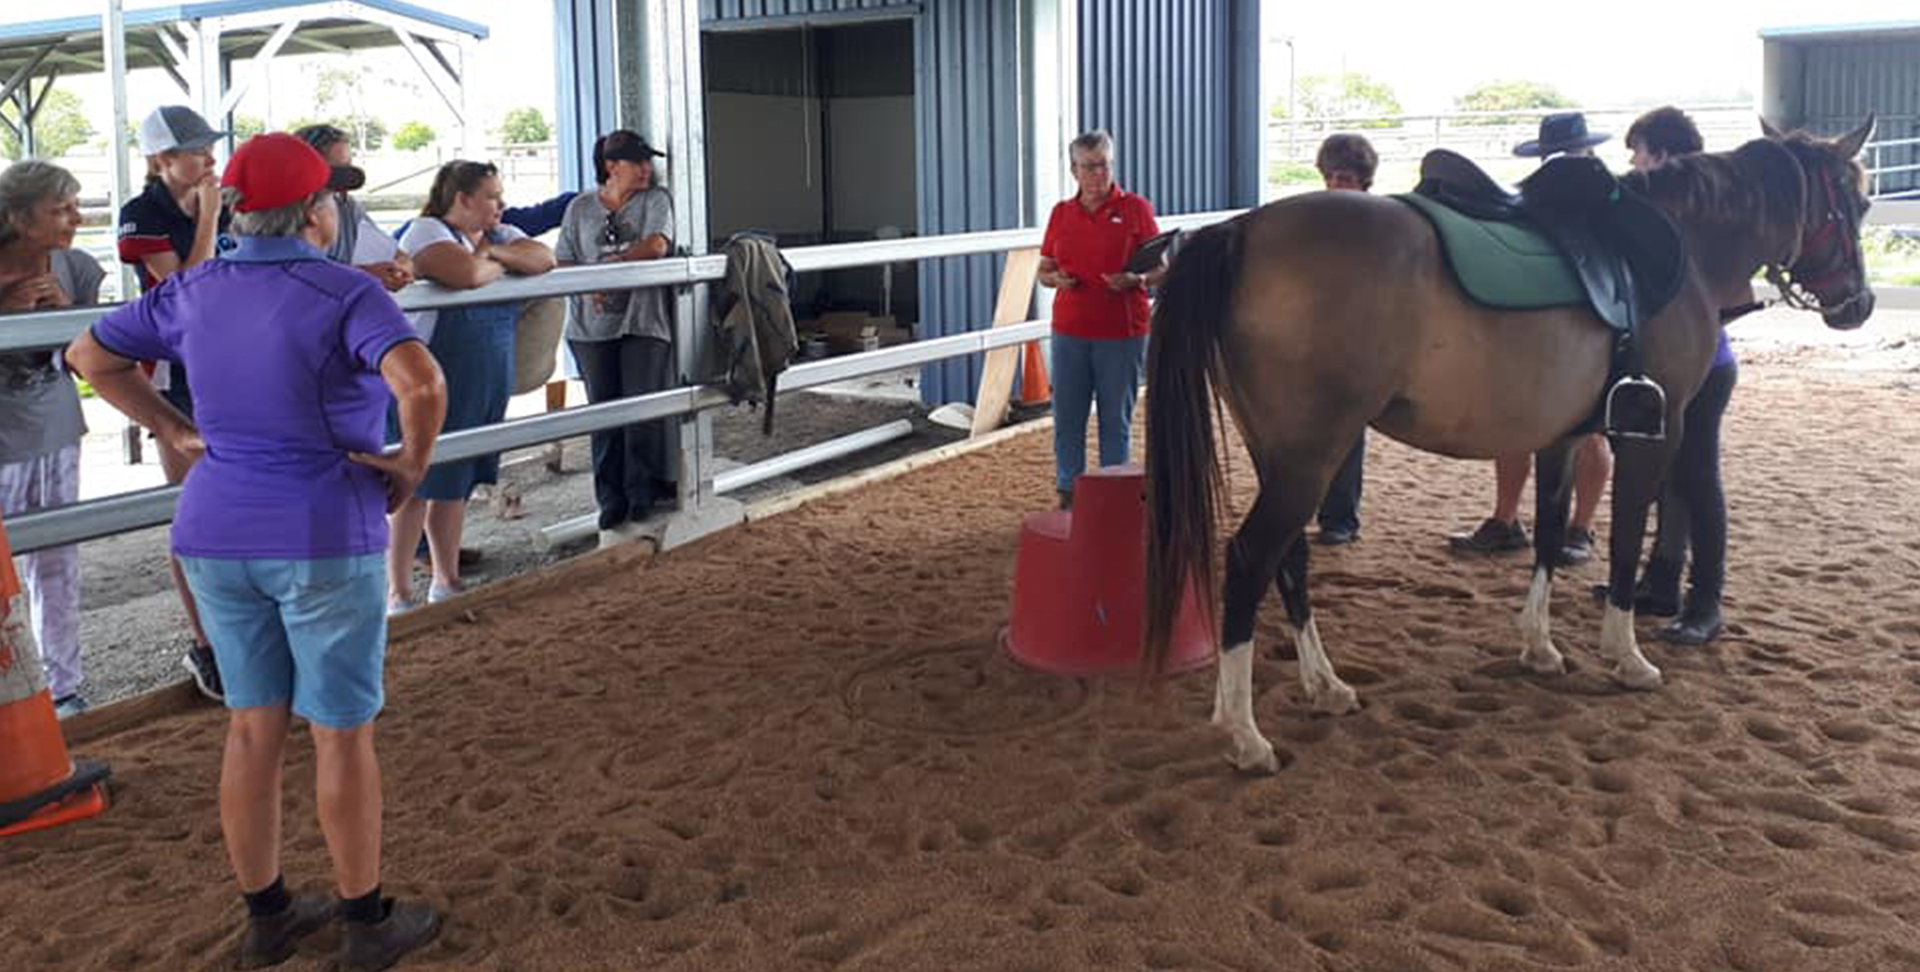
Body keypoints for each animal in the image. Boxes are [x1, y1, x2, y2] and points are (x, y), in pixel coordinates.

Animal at [1136, 121, 1873, 776]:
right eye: (1859, 202)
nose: (1858, 303)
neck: (1682, 248)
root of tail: (1241, 231)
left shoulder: (1564, 436)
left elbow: (1549, 532)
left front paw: (1540, 648)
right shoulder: (1651, 435)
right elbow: (1626, 536)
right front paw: (1626, 655)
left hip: (1286, 455)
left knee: (1288, 560)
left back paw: (1327, 686)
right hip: (1309, 457)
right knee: (1250, 560)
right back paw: (1246, 736)